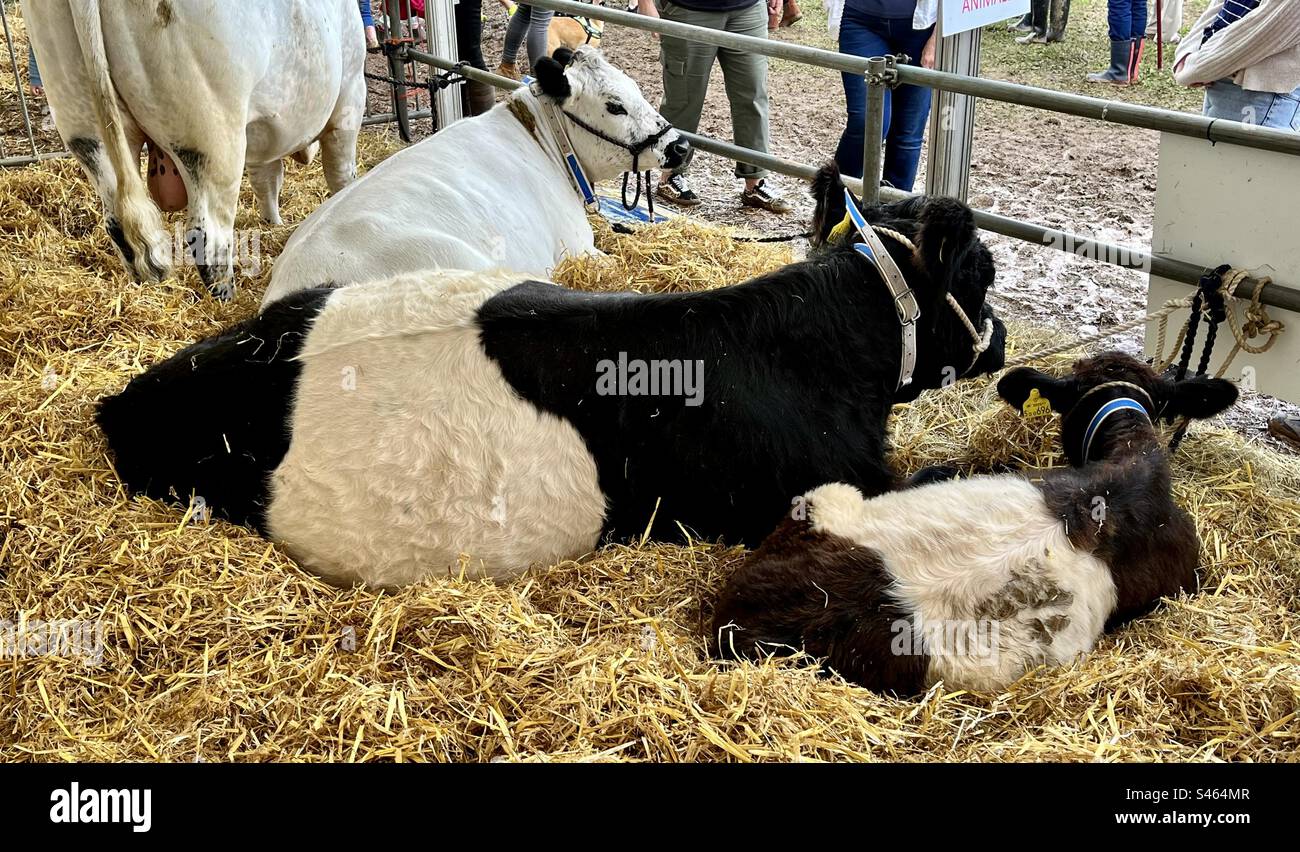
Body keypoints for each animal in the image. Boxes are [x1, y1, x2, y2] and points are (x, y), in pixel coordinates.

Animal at [25, 0, 366, 299]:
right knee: (208, 237)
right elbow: (341, 174)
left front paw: (274, 223)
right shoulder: (350, 95)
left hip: (83, 120)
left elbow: (267, 182)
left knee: (118, 226)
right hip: (213, 134)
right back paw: (227, 299)